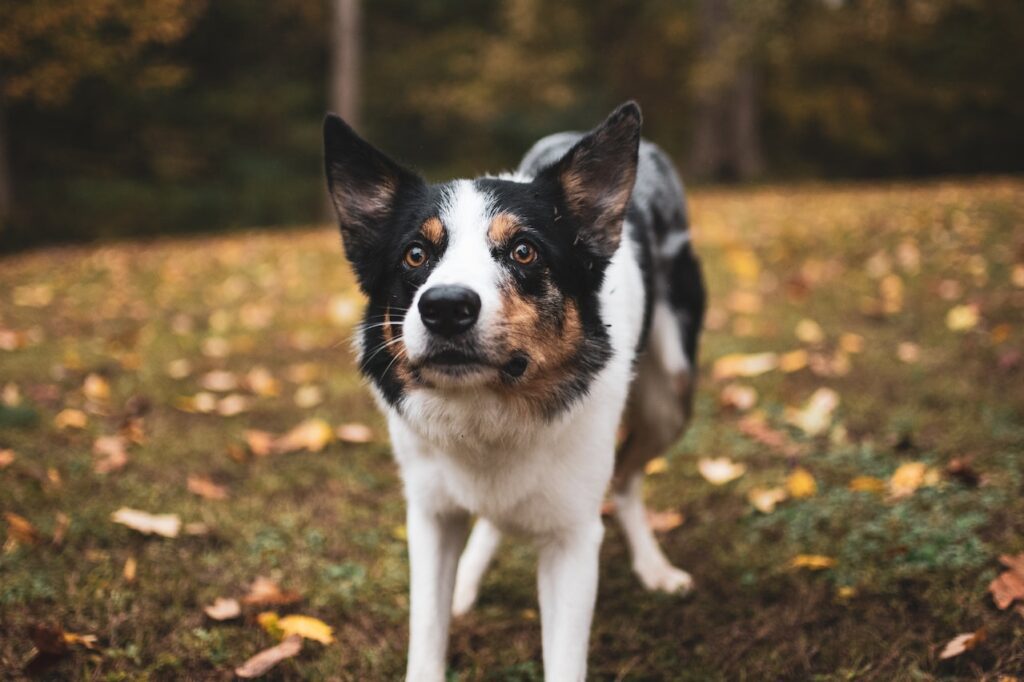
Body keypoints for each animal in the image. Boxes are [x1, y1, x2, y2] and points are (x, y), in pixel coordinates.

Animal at [323, 102, 708, 679]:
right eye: (415, 255)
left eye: (523, 251)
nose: (445, 307)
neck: (489, 412)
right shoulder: (429, 516)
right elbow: (427, 631)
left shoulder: (573, 540)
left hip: (671, 393)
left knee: (626, 479)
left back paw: (653, 567)